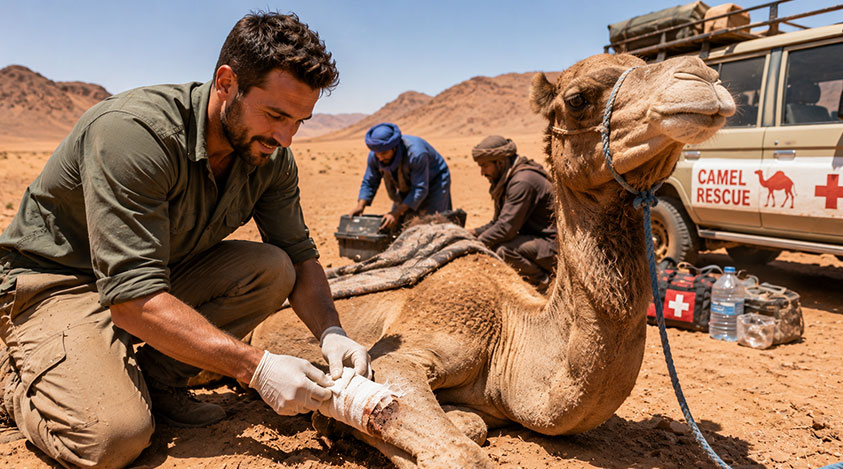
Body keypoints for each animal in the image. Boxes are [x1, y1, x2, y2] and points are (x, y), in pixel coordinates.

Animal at [251, 53, 735, 468]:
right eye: (578, 99)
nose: (701, 77)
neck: (513, 336)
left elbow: (472, 428)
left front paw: (336, 423)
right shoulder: (412, 346)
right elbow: (462, 451)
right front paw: (332, 420)